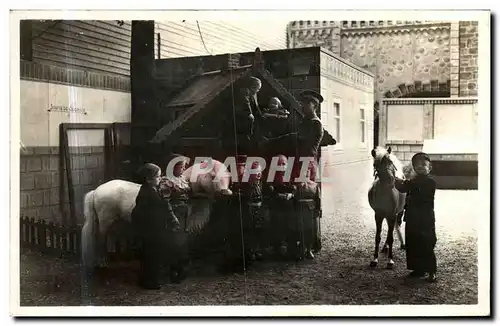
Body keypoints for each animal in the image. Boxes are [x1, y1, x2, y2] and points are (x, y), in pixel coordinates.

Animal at [81, 159, 233, 272]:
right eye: (212, 176)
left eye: (227, 177)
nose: (226, 192)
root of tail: (96, 191)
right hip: (105, 220)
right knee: (101, 238)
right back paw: (102, 263)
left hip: (116, 221)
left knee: (111, 236)